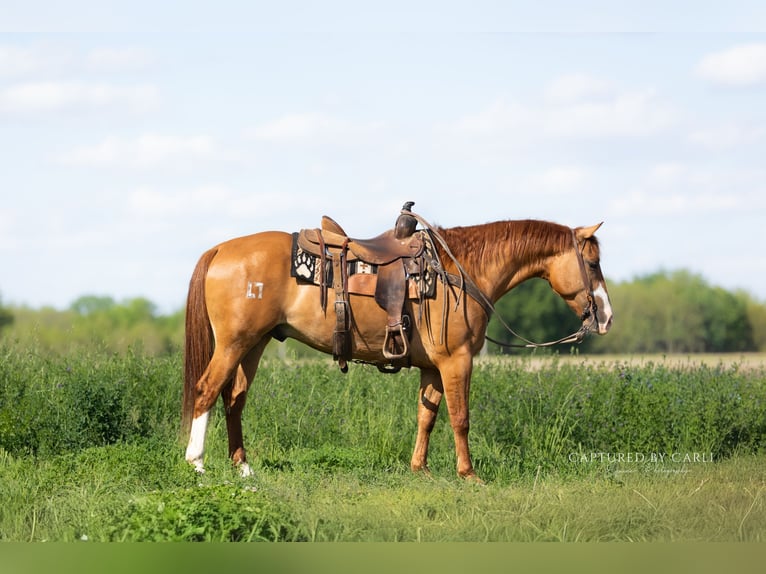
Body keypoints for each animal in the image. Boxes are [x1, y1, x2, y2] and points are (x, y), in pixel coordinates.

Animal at [182, 214, 613, 481]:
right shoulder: (457, 361)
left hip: (253, 345)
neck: (459, 272)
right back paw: (197, 465)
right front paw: (469, 474)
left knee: (234, 400)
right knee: (206, 391)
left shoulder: (433, 367)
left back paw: (243, 467)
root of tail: (220, 250)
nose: (606, 318)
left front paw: (420, 468)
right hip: (234, 344)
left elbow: (427, 416)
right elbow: (460, 418)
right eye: (593, 264)